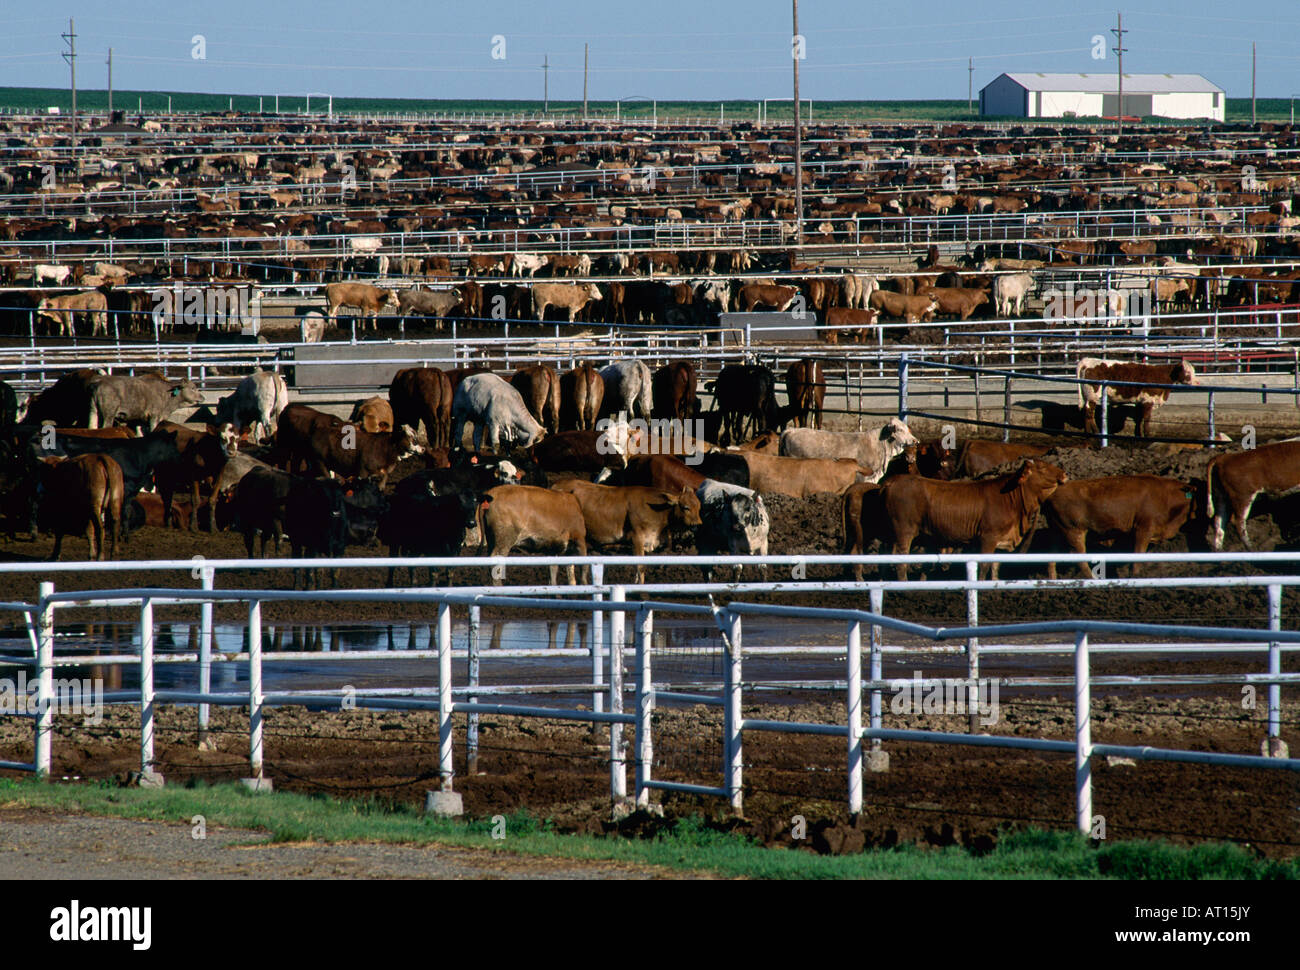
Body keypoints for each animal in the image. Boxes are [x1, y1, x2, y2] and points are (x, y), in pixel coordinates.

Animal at [883, 460, 1066, 574]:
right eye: (1042, 468)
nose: (1064, 473)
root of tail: (892, 481)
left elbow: (995, 567)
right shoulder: (988, 537)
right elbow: (984, 566)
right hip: (904, 531)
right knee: (901, 564)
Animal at [1034, 473, 1196, 577]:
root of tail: (1051, 495)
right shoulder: (1143, 528)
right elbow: (1137, 555)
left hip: (1057, 532)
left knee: (1051, 557)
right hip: (1074, 531)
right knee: (1079, 558)